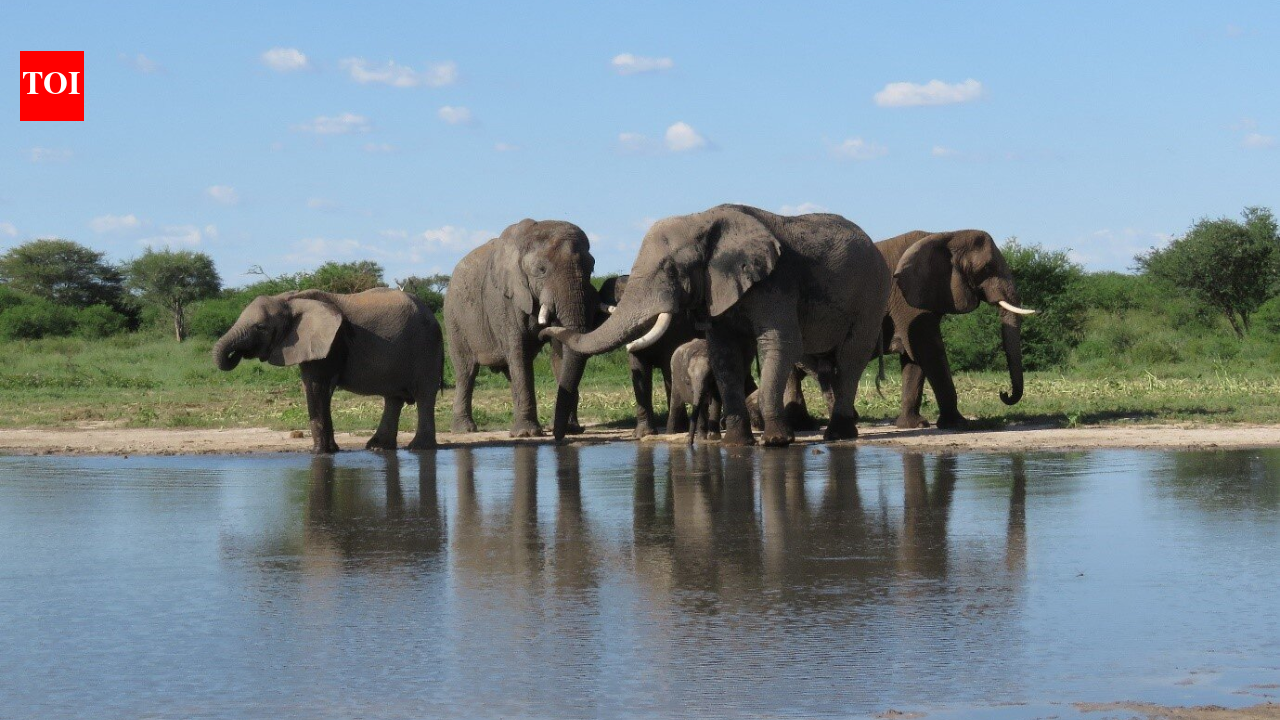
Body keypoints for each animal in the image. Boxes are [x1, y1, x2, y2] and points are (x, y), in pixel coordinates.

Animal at [212, 288, 443, 454]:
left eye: (261, 327)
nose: (238, 353)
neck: (291, 300)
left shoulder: (331, 343)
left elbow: (316, 387)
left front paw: (319, 453)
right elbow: (314, 387)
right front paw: (331, 450)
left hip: (426, 347)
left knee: (424, 395)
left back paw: (418, 448)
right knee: (393, 399)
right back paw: (378, 447)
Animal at [445, 218, 598, 440]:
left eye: (591, 268)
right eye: (541, 270)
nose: (557, 434)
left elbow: (560, 351)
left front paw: (571, 430)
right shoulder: (504, 300)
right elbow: (519, 351)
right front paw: (527, 434)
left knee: (510, 372)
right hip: (454, 319)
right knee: (466, 372)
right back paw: (464, 430)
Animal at [880, 230, 1035, 428]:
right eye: (987, 268)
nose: (1004, 393)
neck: (945, 235)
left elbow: (914, 359)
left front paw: (914, 425)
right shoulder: (907, 301)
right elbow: (929, 351)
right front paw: (958, 424)